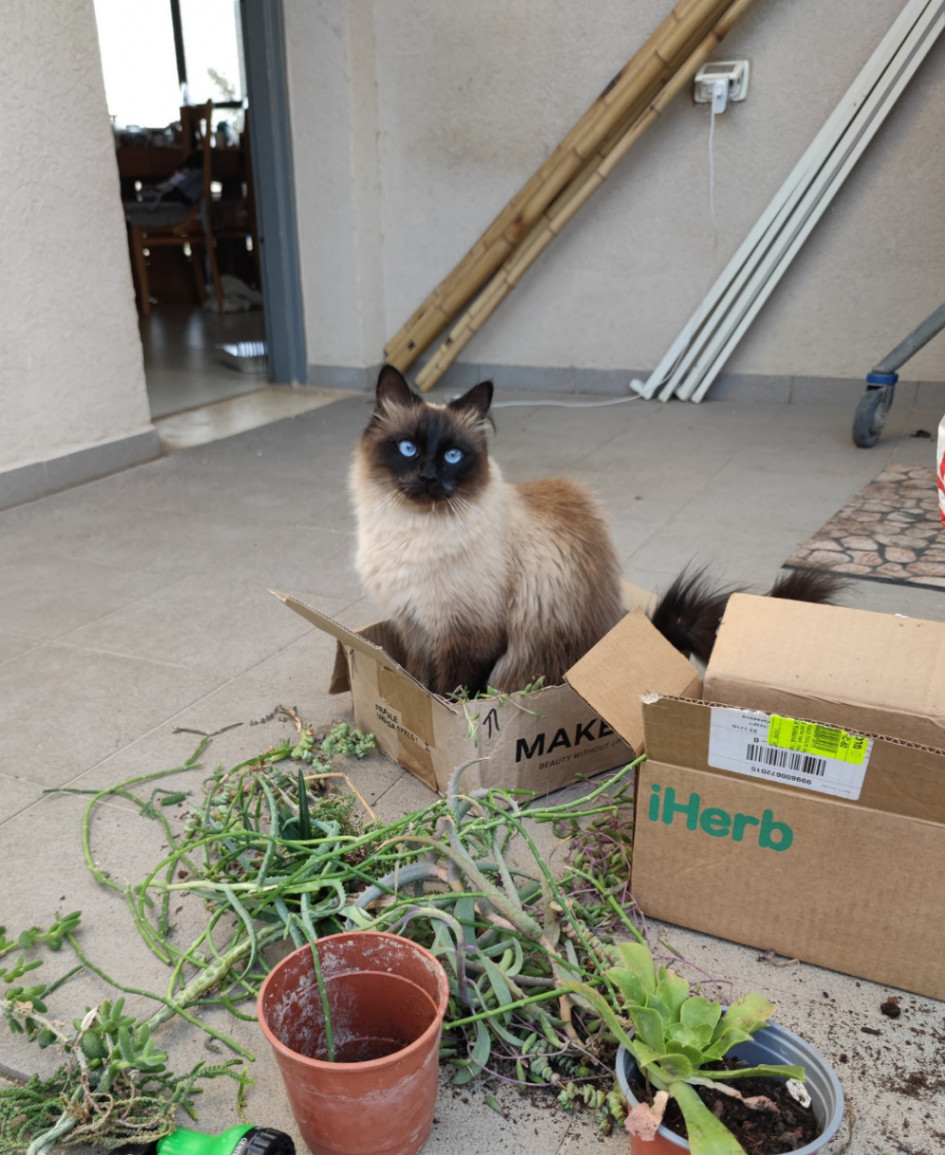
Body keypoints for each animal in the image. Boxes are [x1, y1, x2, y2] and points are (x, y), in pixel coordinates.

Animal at [350, 365, 844, 697]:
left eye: (453, 456)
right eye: (408, 448)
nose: (430, 477)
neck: (412, 531)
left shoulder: (465, 633)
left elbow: (451, 689)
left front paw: (445, 714)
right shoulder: (414, 625)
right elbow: (416, 675)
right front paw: (415, 696)